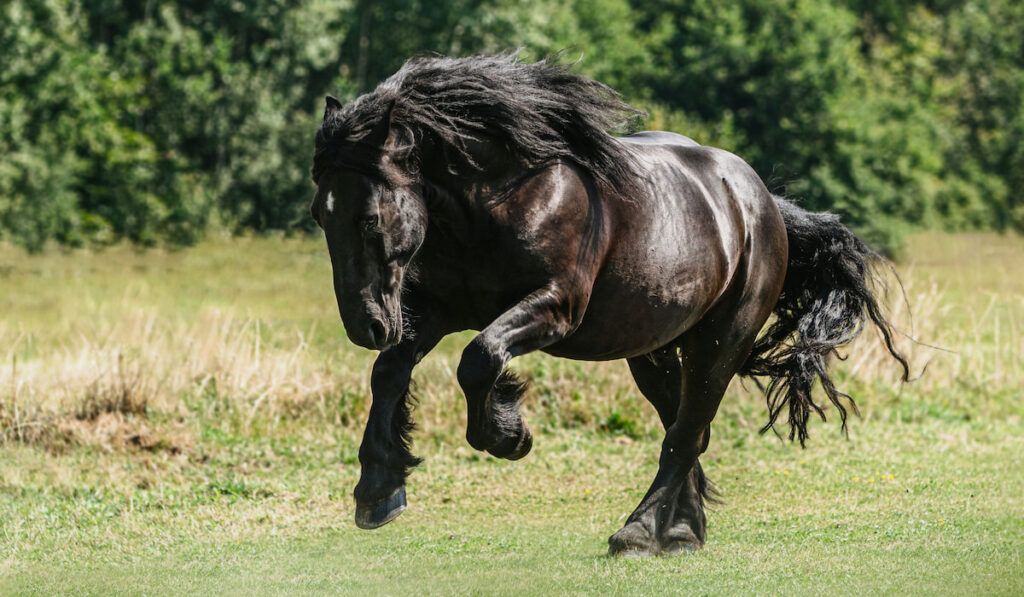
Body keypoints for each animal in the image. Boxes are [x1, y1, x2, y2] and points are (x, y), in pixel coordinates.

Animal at [309, 53, 905, 557]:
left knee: (686, 432)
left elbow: (479, 359)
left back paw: (639, 532)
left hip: (720, 343)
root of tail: (761, 202)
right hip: (655, 352)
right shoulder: (437, 310)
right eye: (320, 213)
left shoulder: (554, 308)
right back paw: (681, 532)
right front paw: (378, 489)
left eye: (368, 217)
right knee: (687, 428)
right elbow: (389, 372)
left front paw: (509, 435)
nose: (365, 325)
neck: (498, 203)